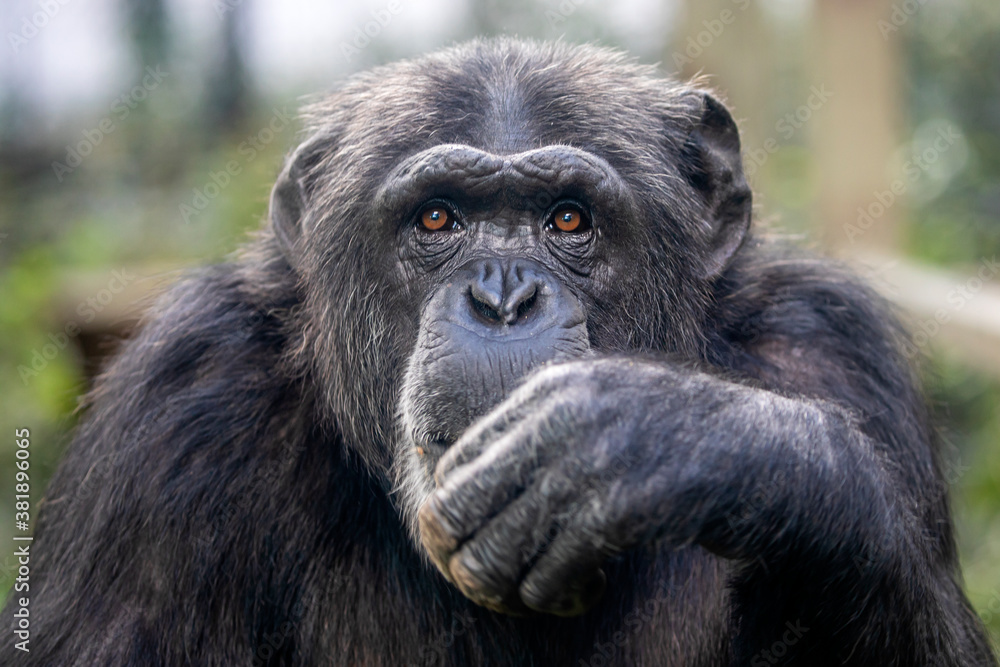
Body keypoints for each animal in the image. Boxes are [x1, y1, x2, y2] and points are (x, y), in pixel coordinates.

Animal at [9, 37, 1000, 667]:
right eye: (437, 218)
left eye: (567, 218)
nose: (502, 295)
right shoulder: (176, 418)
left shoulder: (835, 351)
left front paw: (660, 441)